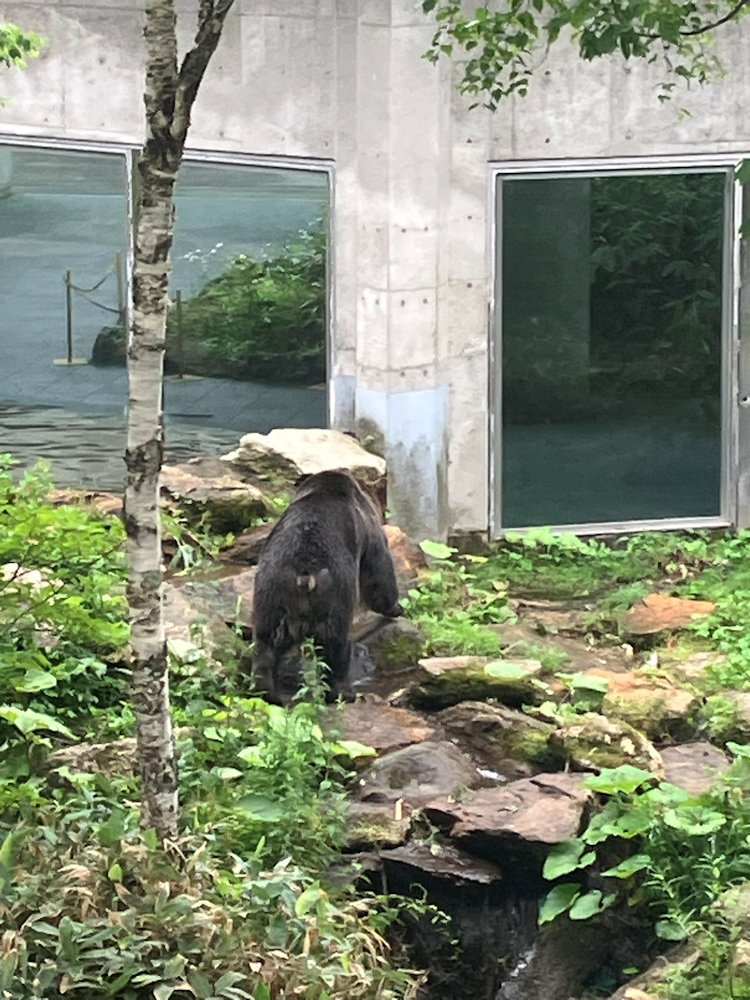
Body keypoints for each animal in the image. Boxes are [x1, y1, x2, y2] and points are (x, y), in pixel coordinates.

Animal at [252, 468, 402, 703]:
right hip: (335, 592)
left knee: (265, 643)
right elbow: (379, 568)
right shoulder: (368, 530)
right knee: (336, 644)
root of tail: (304, 574)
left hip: (271, 590)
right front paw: (396, 607)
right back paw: (344, 692)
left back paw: (268, 692)